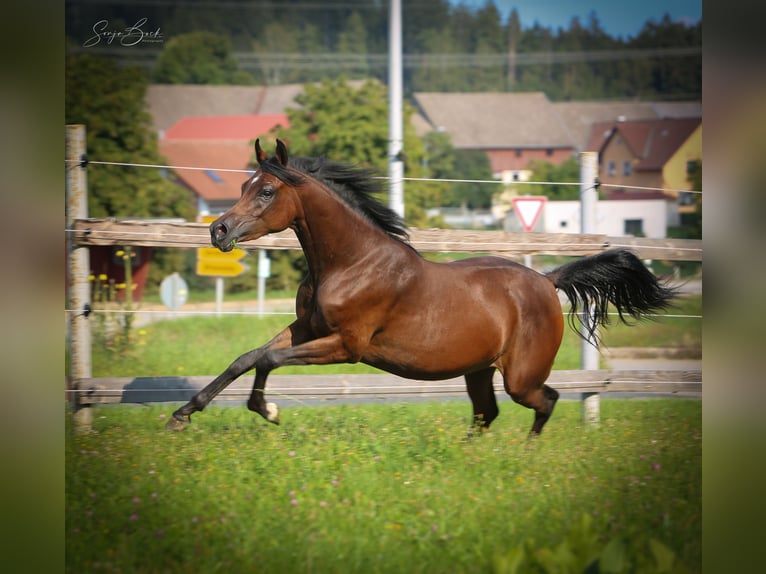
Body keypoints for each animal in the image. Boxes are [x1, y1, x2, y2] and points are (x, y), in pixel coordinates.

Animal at [165, 140, 676, 436]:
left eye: (267, 191)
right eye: (245, 185)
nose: (218, 230)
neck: (351, 263)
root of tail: (548, 281)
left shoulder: (346, 344)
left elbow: (268, 361)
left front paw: (268, 411)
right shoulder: (306, 328)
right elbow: (246, 358)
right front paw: (181, 414)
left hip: (520, 376)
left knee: (544, 402)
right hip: (478, 371)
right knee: (487, 414)